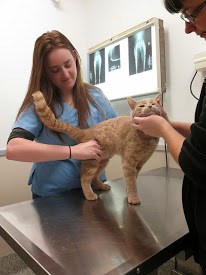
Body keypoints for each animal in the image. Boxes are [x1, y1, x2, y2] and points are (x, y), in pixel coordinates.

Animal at [32, 92, 162, 205]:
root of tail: (85, 131)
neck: (147, 136)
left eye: (153, 103)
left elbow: (133, 179)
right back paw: (89, 194)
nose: (150, 106)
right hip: (92, 162)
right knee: (84, 179)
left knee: (94, 177)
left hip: (102, 161)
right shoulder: (129, 163)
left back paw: (102, 186)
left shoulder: (139, 164)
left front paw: (128, 192)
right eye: (142, 105)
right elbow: (131, 182)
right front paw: (133, 197)